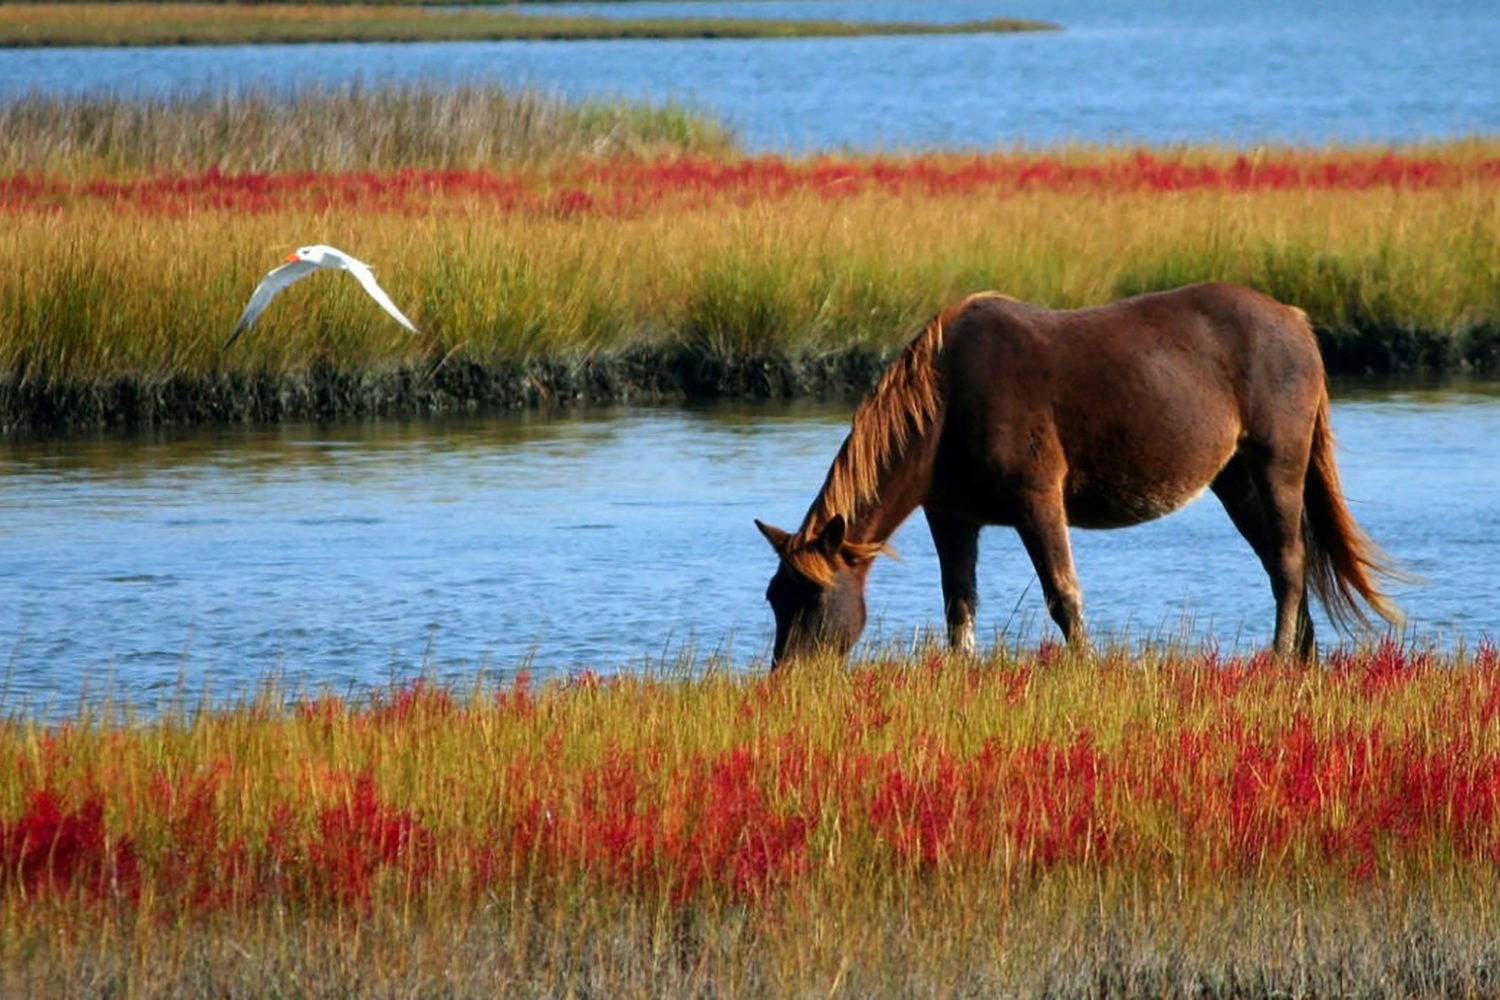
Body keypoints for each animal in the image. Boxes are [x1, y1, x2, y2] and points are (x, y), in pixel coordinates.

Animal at [762, 281, 1404, 668]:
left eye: (813, 598)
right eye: (774, 597)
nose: (787, 678)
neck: (948, 400)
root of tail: (1295, 321)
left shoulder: (1038, 501)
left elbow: (1063, 595)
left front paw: (1084, 668)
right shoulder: (951, 516)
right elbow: (958, 605)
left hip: (1277, 463)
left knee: (1291, 563)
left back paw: (1277, 659)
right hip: (1236, 480)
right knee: (1280, 563)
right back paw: (1301, 659)